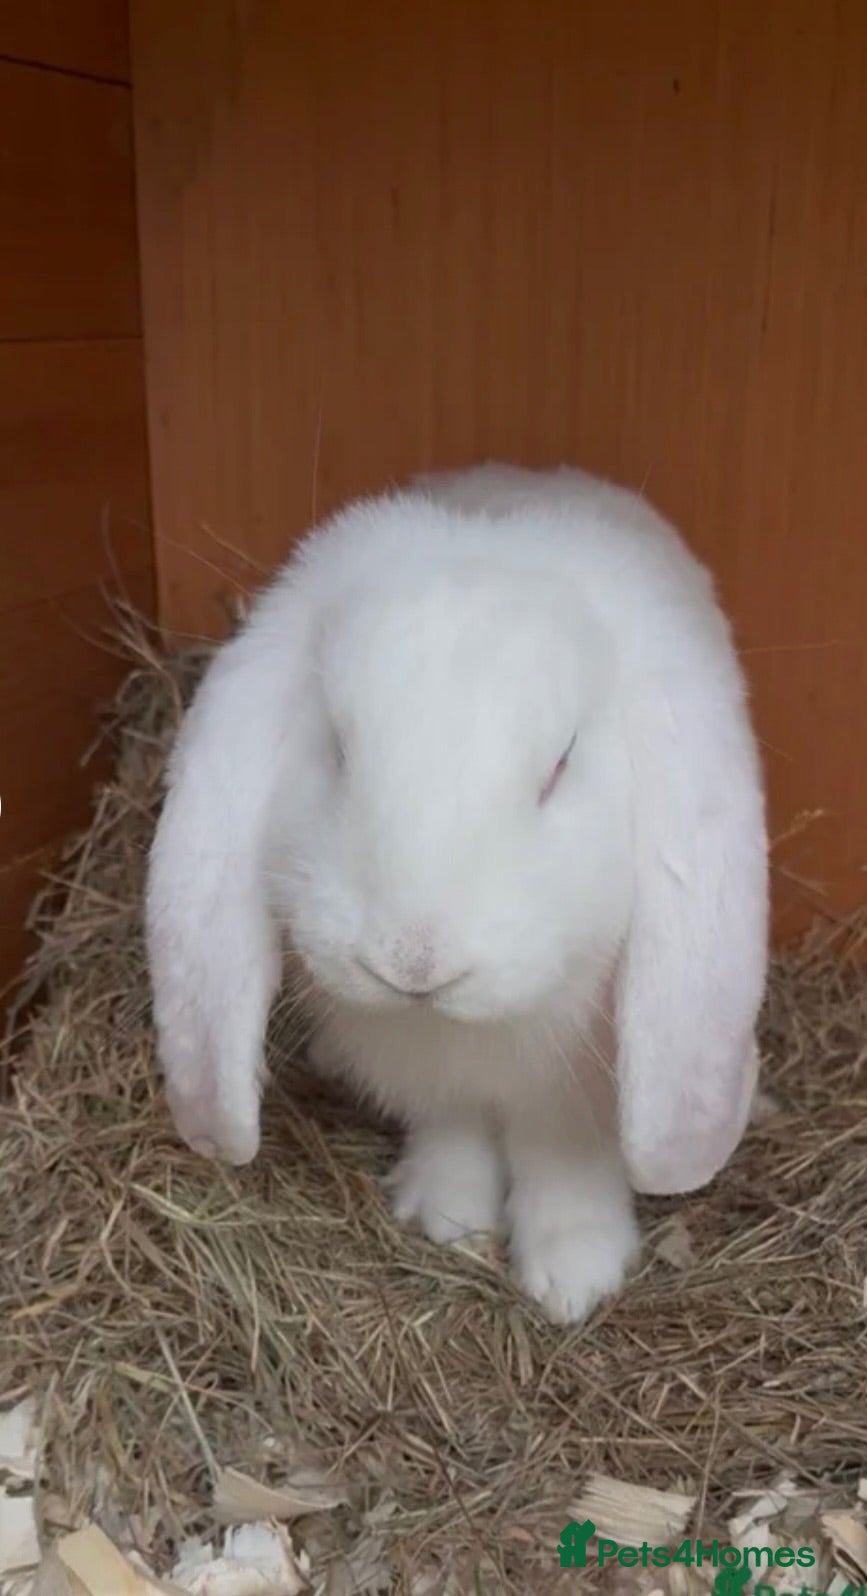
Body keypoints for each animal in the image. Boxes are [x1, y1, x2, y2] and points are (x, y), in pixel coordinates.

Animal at [145, 463, 768, 1324]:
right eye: (336, 748)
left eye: (558, 767)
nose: (413, 961)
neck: (454, 1030)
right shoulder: (431, 1076)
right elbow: (452, 1121)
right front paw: (447, 1214)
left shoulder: (576, 1084)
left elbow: (563, 1148)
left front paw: (573, 1272)